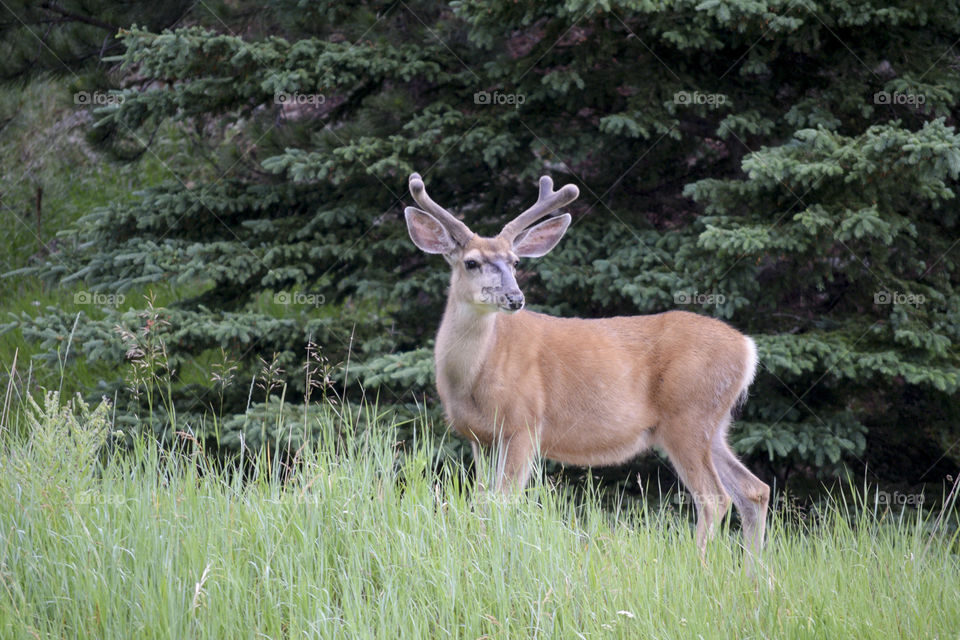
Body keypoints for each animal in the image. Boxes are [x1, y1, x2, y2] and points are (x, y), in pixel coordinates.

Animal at [404, 171, 772, 560]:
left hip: (688, 415)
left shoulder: (523, 423)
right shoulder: (479, 436)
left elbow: (504, 501)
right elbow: (482, 502)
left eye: (515, 262)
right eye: (471, 262)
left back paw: (697, 564)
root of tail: (747, 349)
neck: (472, 377)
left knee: (715, 497)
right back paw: (755, 571)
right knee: (754, 490)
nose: (515, 298)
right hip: (713, 424)